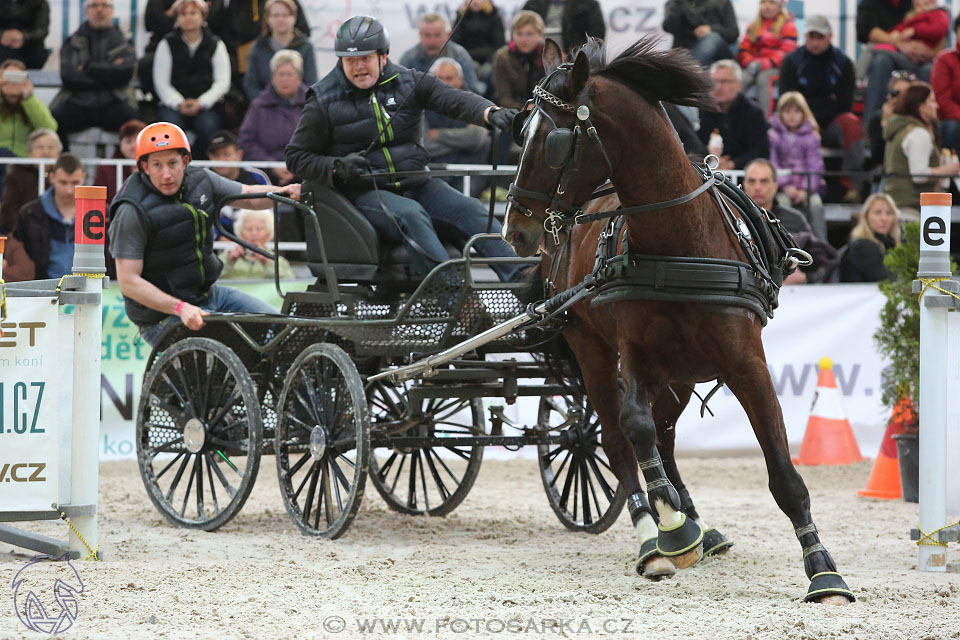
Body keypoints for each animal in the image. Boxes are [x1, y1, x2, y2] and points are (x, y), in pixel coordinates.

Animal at [502, 37, 856, 604]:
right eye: (521, 129)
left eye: (551, 140)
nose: (515, 228)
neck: (679, 241)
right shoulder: (634, 355)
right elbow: (634, 429)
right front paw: (669, 528)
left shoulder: (746, 365)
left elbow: (783, 472)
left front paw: (823, 571)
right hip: (593, 350)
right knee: (617, 440)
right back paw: (655, 540)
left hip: (681, 374)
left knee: (665, 437)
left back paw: (697, 525)